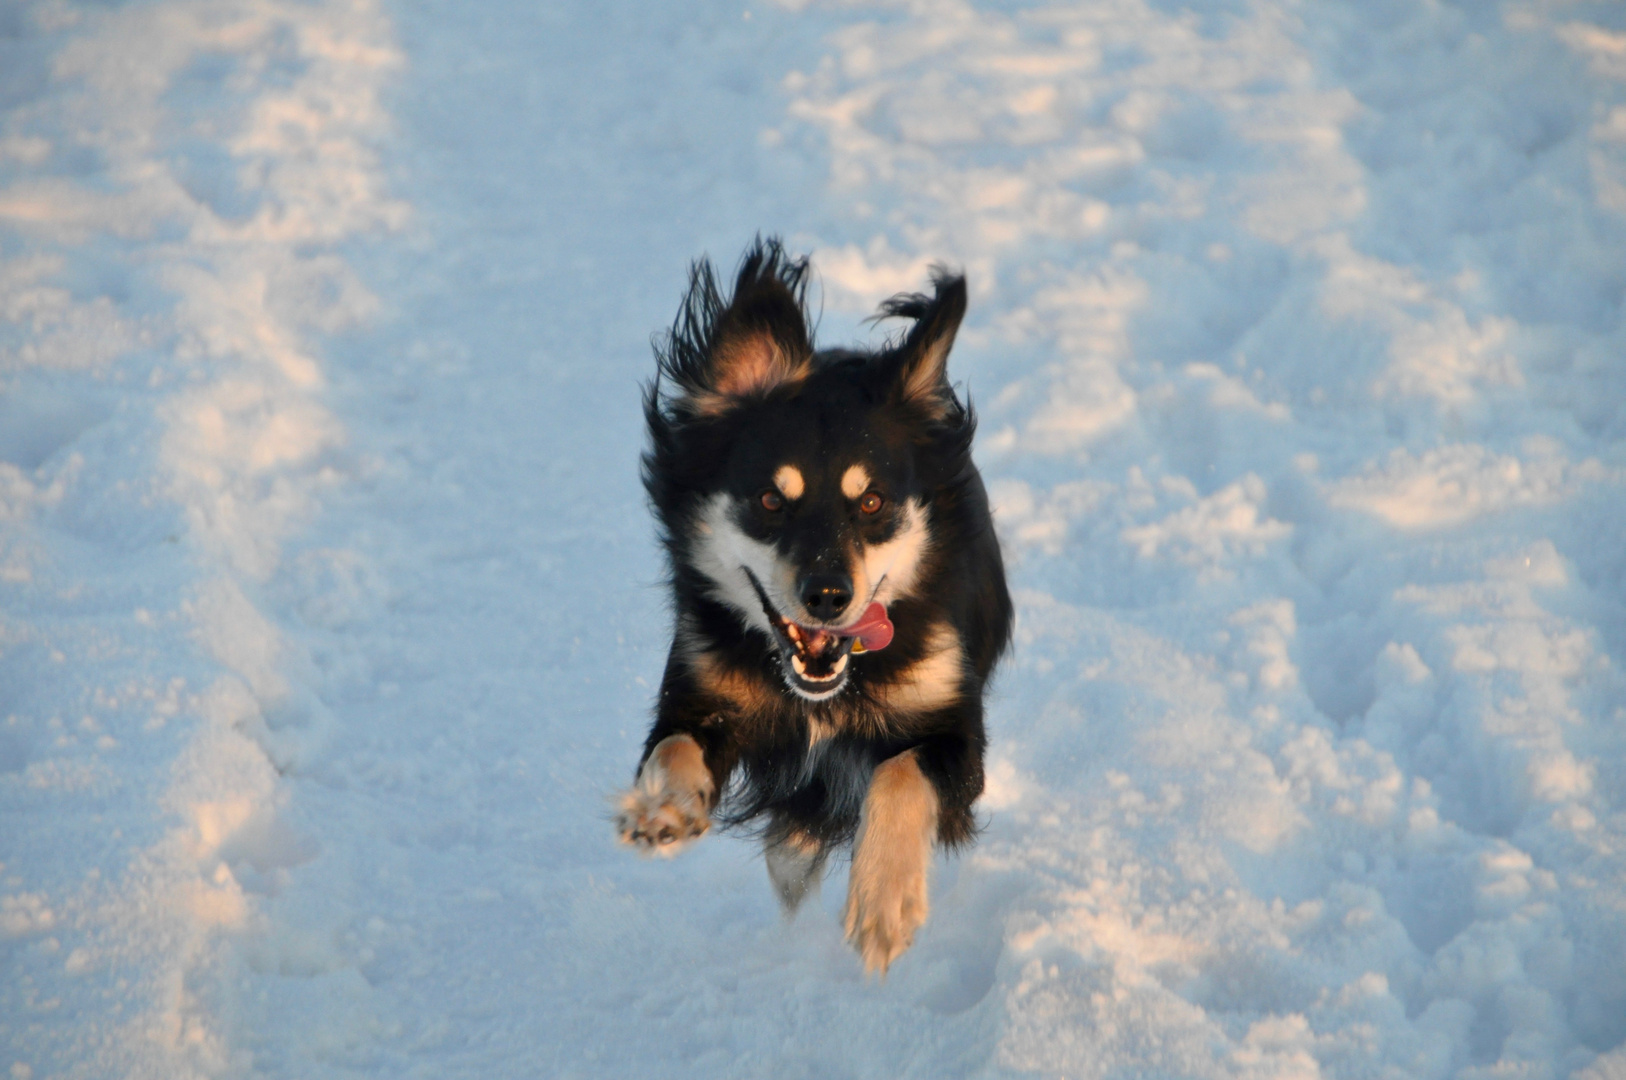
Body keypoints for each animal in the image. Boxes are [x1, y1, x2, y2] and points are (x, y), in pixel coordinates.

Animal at [614, 240, 1008, 975]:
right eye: (771, 500)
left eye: (873, 501)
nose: (828, 596)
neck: (824, 693)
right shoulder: (700, 689)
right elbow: (674, 745)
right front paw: (662, 808)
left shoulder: (957, 734)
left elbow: (900, 774)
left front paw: (884, 904)